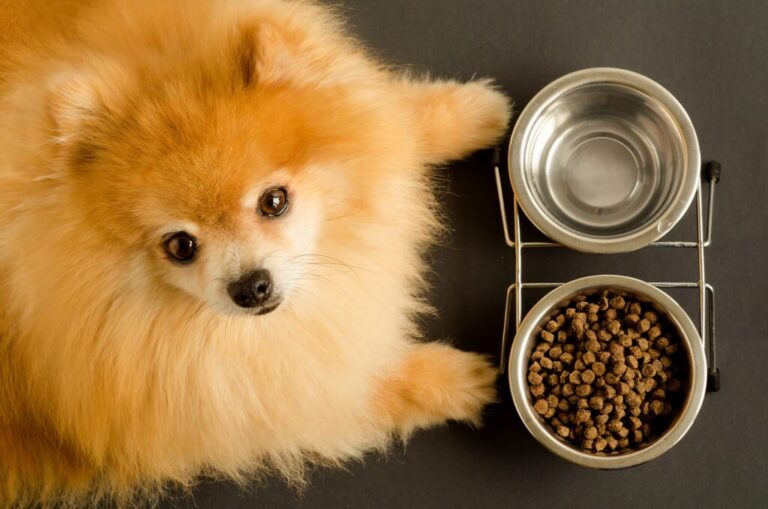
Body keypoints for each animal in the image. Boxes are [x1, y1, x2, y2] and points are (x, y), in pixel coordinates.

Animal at [0, 0, 512, 502]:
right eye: (180, 246)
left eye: (274, 201)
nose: (251, 286)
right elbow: (341, 389)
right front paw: (458, 380)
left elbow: (386, 115)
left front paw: (474, 113)